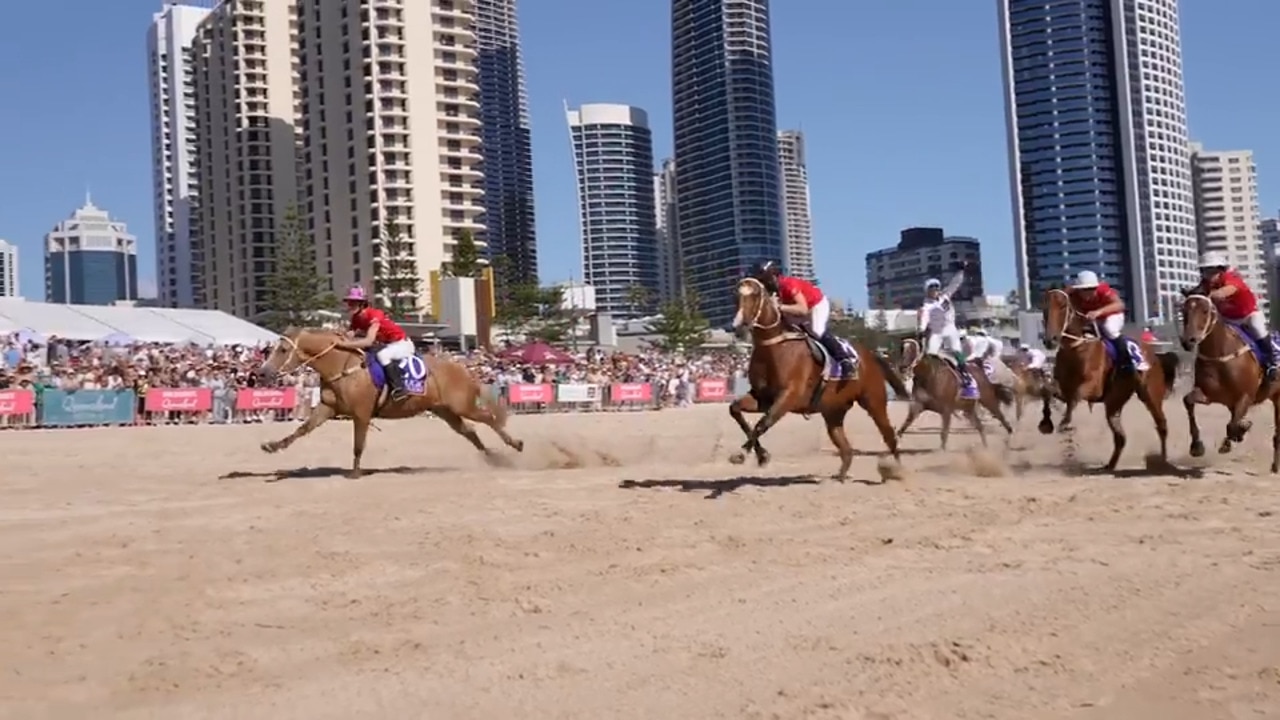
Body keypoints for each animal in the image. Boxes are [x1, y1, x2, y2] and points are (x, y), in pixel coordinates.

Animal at [258, 326, 524, 476]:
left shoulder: (361, 413)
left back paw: (515, 444)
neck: (341, 366)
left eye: (283, 350)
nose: (263, 373)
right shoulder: (327, 409)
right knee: (469, 431)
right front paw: (273, 446)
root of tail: (463, 368)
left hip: (462, 405)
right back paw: (494, 458)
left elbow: (358, 445)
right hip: (445, 410)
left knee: (488, 418)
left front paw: (355, 472)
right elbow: (302, 429)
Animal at [727, 278, 916, 479]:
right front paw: (761, 455)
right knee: (845, 447)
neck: (775, 348)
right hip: (833, 411)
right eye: (736, 296)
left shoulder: (788, 397)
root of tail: (871, 356)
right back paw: (840, 477)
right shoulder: (763, 398)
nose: (738, 326)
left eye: (755, 295)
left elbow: (764, 423)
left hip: (874, 401)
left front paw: (742, 454)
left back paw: (897, 470)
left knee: (888, 434)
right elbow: (736, 410)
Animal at [1034, 288, 1172, 468]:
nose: (1050, 340)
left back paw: (1163, 460)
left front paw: (1065, 423)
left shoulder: (1092, 387)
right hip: (1114, 402)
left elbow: (1075, 396)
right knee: (1120, 437)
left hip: (1150, 395)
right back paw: (1110, 465)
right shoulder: (1062, 387)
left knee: (1161, 425)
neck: (1076, 348)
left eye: (1063, 306)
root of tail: (1154, 355)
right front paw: (1046, 423)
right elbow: (1048, 391)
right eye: (1044, 307)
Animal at [1177, 292, 1280, 471]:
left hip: (1278, 398)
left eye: (1205, 310)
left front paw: (1236, 434)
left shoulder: (1246, 396)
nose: (1188, 341)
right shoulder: (1208, 394)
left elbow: (1232, 426)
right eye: (1184, 310)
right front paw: (1196, 447)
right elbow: (1188, 401)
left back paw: (1274, 465)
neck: (1220, 354)